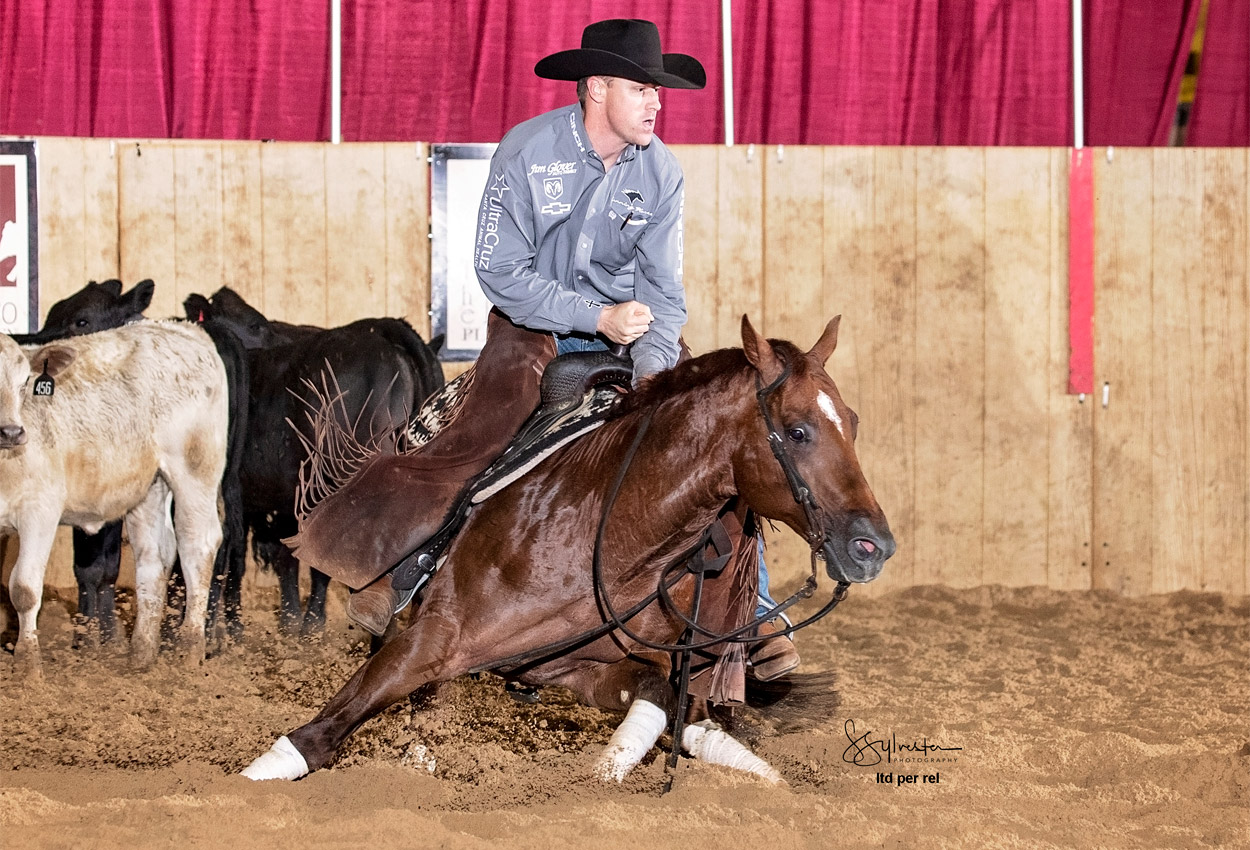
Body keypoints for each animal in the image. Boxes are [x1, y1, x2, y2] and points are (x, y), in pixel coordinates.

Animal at [241, 317, 890, 785]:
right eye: (799, 430)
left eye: (855, 422)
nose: (874, 545)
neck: (613, 537)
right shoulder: (432, 638)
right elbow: (325, 730)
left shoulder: (569, 665)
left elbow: (662, 695)